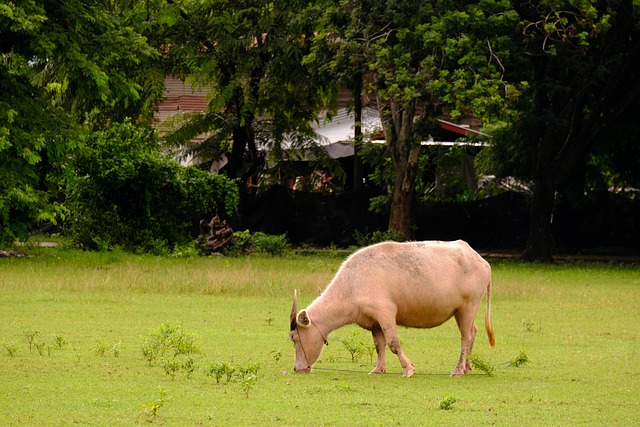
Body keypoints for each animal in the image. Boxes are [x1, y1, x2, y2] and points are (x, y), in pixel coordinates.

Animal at [288, 241, 496, 378]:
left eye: (294, 338)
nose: (297, 368)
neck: (353, 283)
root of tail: (479, 259)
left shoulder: (385, 313)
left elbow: (393, 343)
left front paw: (408, 368)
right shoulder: (374, 322)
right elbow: (379, 345)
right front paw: (378, 369)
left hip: (469, 306)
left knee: (465, 337)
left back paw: (458, 369)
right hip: (461, 311)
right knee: (473, 332)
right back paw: (467, 367)